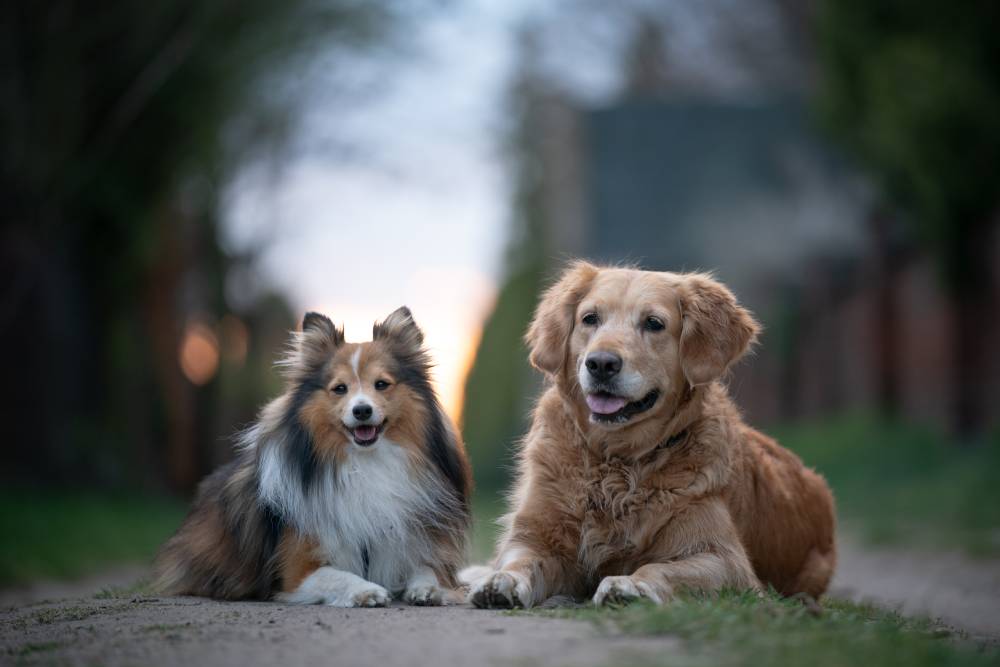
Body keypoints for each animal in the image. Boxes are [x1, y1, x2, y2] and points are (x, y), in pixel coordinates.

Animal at [153, 306, 472, 608]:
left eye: (381, 384)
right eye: (339, 388)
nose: (362, 411)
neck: (365, 463)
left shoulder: (410, 543)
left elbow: (427, 569)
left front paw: (428, 589)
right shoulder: (297, 569)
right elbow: (338, 575)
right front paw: (366, 590)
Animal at [466, 264, 836, 608]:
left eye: (654, 323)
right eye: (589, 319)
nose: (601, 364)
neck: (615, 461)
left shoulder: (725, 561)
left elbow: (661, 568)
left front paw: (630, 584)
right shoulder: (537, 537)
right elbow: (523, 561)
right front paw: (501, 580)